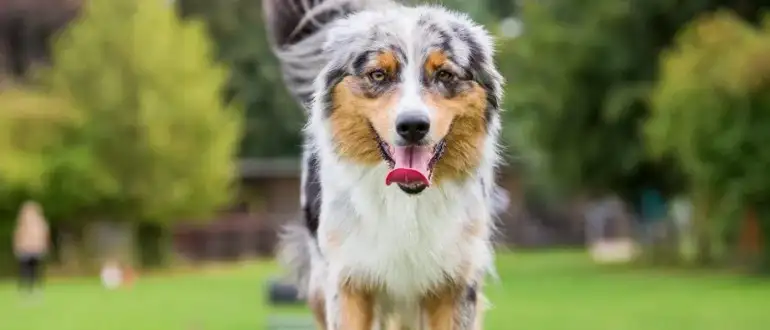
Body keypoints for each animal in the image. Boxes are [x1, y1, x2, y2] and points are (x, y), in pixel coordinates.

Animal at [262, 1, 504, 328]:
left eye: (444, 74)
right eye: (378, 75)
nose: (413, 126)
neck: (406, 201)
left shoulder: (456, 280)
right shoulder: (347, 278)